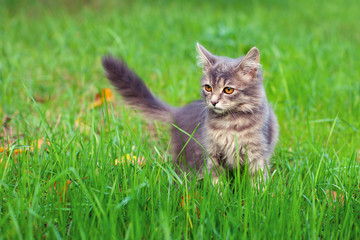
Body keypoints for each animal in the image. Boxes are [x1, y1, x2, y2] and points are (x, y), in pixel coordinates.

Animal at [102, 43, 280, 185]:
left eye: (228, 90)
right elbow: (216, 181)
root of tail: (178, 111)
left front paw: (258, 199)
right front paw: (218, 199)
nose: (213, 102)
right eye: (208, 88)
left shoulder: (258, 154)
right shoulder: (212, 153)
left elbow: (258, 182)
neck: (229, 123)